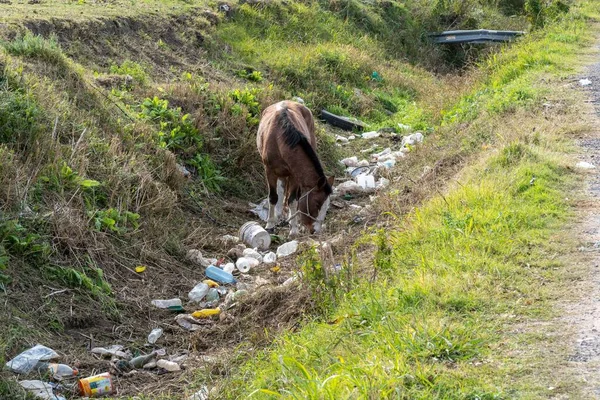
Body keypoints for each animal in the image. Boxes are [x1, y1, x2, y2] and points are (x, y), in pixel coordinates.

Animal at [256, 101, 336, 238]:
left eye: (327, 206)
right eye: (317, 203)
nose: (316, 231)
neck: (280, 139)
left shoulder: (294, 175)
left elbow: (293, 200)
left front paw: (293, 229)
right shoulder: (269, 170)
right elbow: (273, 197)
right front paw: (270, 224)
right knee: (280, 190)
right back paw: (277, 215)